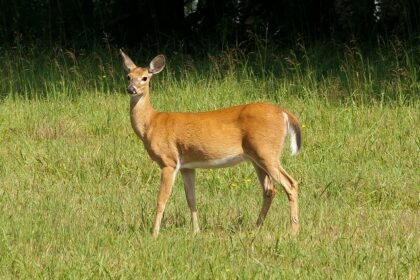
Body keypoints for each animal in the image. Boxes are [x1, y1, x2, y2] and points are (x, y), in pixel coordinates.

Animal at [120, 49, 300, 236]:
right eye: (128, 76)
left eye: (145, 78)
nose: (131, 89)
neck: (151, 123)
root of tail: (284, 113)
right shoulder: (187, 166)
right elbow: (191, 199)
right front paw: (196, 231)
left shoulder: (168, 161)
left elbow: (162, 199)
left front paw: (154, 234)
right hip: (256, 157)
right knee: (269, 190)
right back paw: (256, 228)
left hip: (267, 152)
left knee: (291, 184)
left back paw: (294, 231)